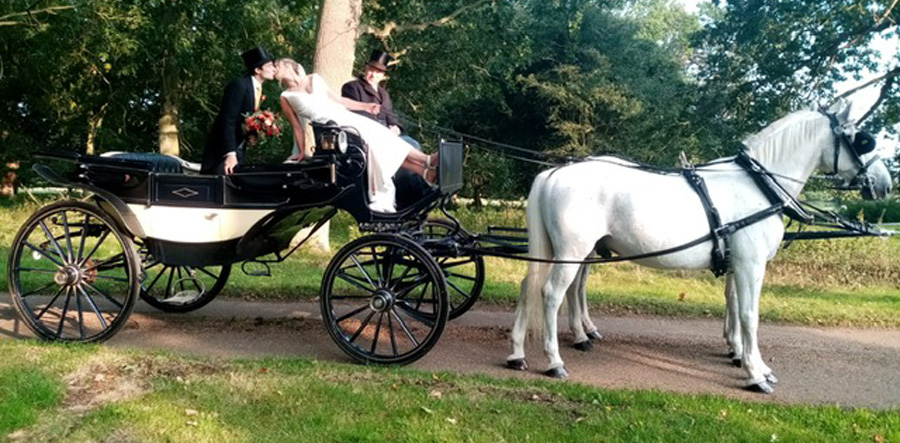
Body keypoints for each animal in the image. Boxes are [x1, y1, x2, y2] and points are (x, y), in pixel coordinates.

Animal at [506, 102, 892, 394]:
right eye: (863, 140)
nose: (886, 184)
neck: (759, 185)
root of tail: (555, 172)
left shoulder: (738, 265)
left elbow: (734, 307)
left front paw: (741, 355)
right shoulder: (751, 264)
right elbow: (749, 315)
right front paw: (755, 373)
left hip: (560, 251)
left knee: (531, 287)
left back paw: (518, 354)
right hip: (572, 251)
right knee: (552, 293)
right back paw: (555, 361)